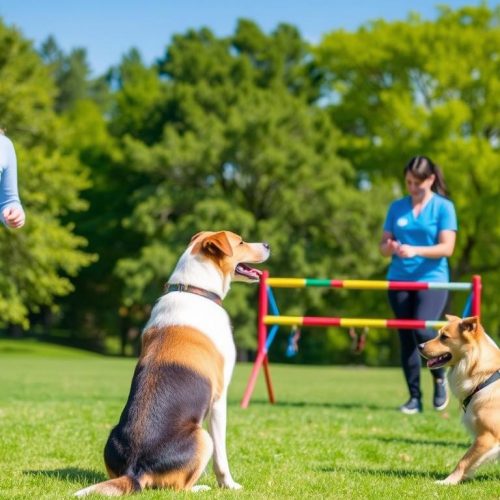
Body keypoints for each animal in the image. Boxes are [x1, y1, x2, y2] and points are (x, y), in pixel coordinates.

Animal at [74, 231, 270, 496]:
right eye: (240, 242)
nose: (267, 245)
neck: (194, 290)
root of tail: (135, 470)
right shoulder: (219, 397)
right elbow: (222, 458)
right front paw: (229, 485)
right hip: (203, 437)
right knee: (179, 488)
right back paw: (200, 488)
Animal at [420, 314, 498, 482]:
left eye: (444, 337)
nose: (419, 346)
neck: (486, 376)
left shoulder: (488, 436)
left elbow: (464, 460)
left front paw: (448, 481)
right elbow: (470, 462)